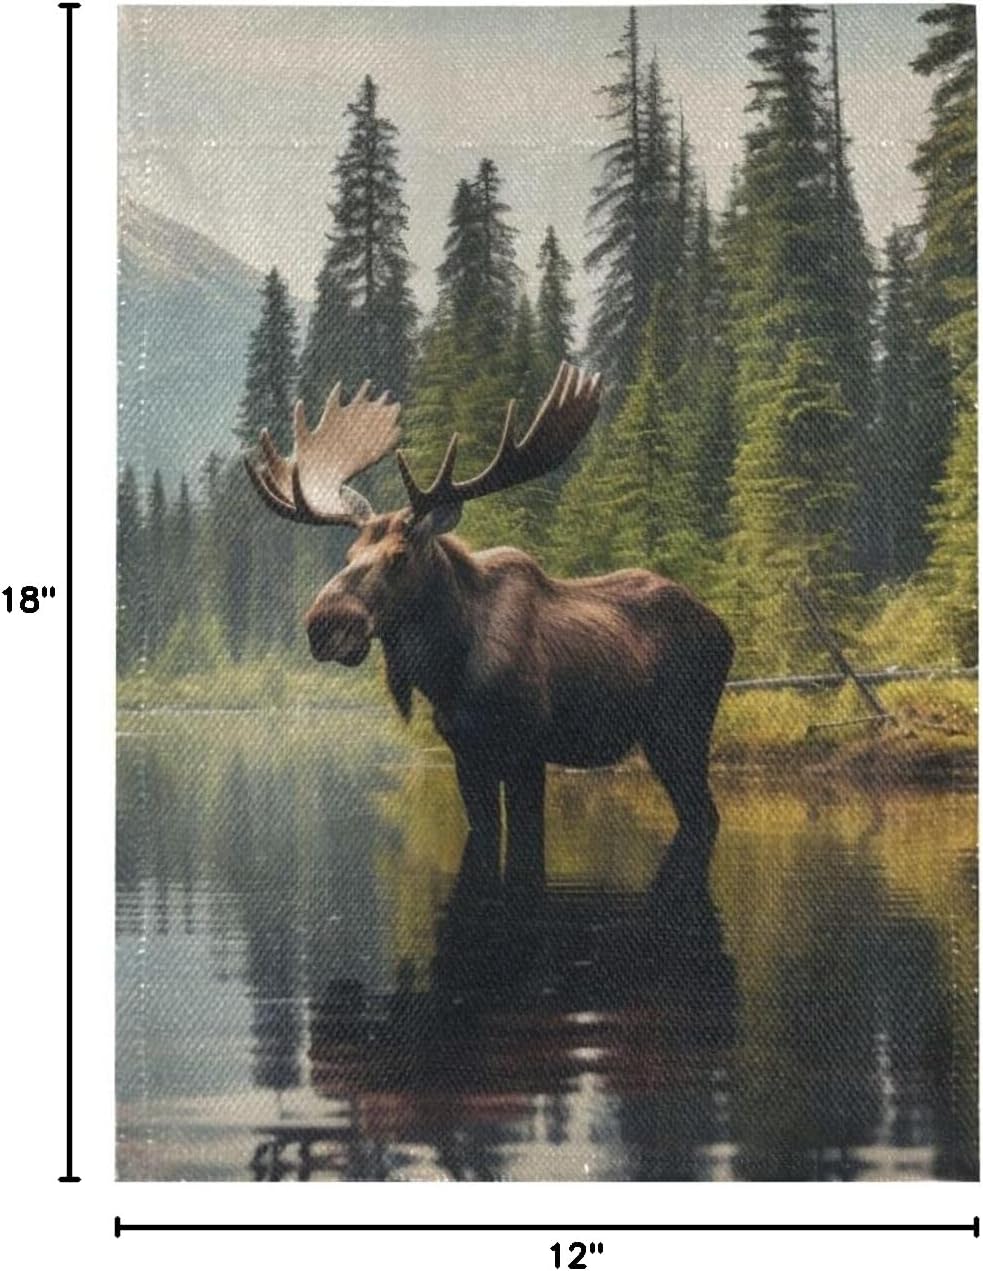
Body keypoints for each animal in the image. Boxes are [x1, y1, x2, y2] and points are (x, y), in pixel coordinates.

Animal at [245, 363, 734, 896]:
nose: (324, 623)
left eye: (399, 555)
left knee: (705, 815)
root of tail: (724, 630)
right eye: (350, 555)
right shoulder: (466, 755)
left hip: (681, 732)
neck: (449, 671)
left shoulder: (527, 751)